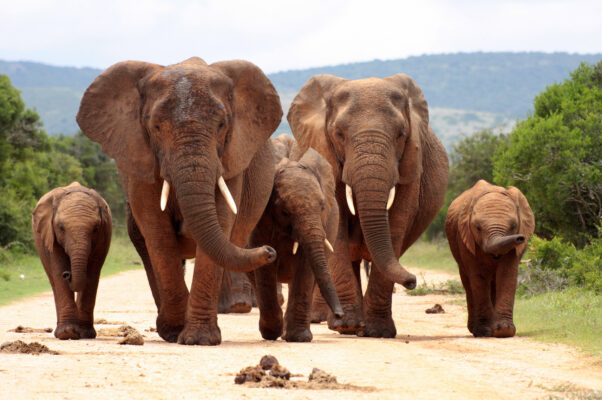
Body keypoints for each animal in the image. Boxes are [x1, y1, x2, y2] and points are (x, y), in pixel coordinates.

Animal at [32, 183, 112, 340]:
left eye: (96, 229)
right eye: (61, 228)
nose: (67, 274)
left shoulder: (103, 236)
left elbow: (92, 273)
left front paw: (85, 334)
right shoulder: (50, 234)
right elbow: (58, 269)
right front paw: (67, 333)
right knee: (53, 281)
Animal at [76, 55, 280, 344]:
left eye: (222, 125)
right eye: (156, 127)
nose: (269, 251)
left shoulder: (231, 158)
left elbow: (220, 221)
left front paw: (199, 339)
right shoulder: (139, 158)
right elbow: (157, 231)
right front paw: (175, 332)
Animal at [248, 134, 342, 340]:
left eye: (322, 207)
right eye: (285, 212)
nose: (340, 314)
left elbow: (305, 266)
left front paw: (299, 338)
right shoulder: (261, 221)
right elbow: (265, 267)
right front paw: (271, 333)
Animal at [288, 72, 448, 338]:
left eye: (401, 134)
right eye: (339, 133)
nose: (413, 281)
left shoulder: (410, 164)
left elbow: (396, 223)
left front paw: (378, 332)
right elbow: (338, 224)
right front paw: (349, 326)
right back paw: (339, 323)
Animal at [442, 180, 532, 338]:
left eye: (514, 226)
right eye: (478, 227)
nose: (520, 238)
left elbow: (507, 273)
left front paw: (504, 330)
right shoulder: (466, 238)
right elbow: (478, 276)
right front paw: (485, 331)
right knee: (468, 283)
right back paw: (476, 330)